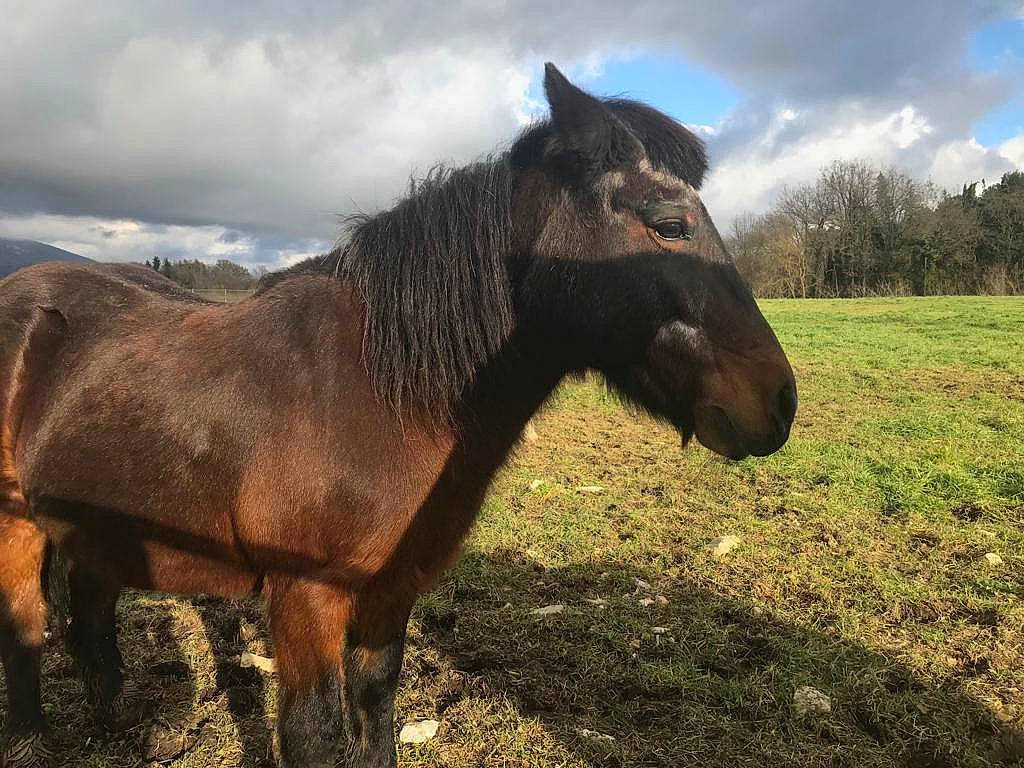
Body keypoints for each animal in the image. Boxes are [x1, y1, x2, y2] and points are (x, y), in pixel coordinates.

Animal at [0, 63, 796, 768]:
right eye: (670, 225)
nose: (779, 402)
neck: (385, 397)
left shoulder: (391, 591)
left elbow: (376, 708)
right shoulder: (307, 597)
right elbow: (315, 735)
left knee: (90, 608)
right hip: (17, 525)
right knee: (27, 627)